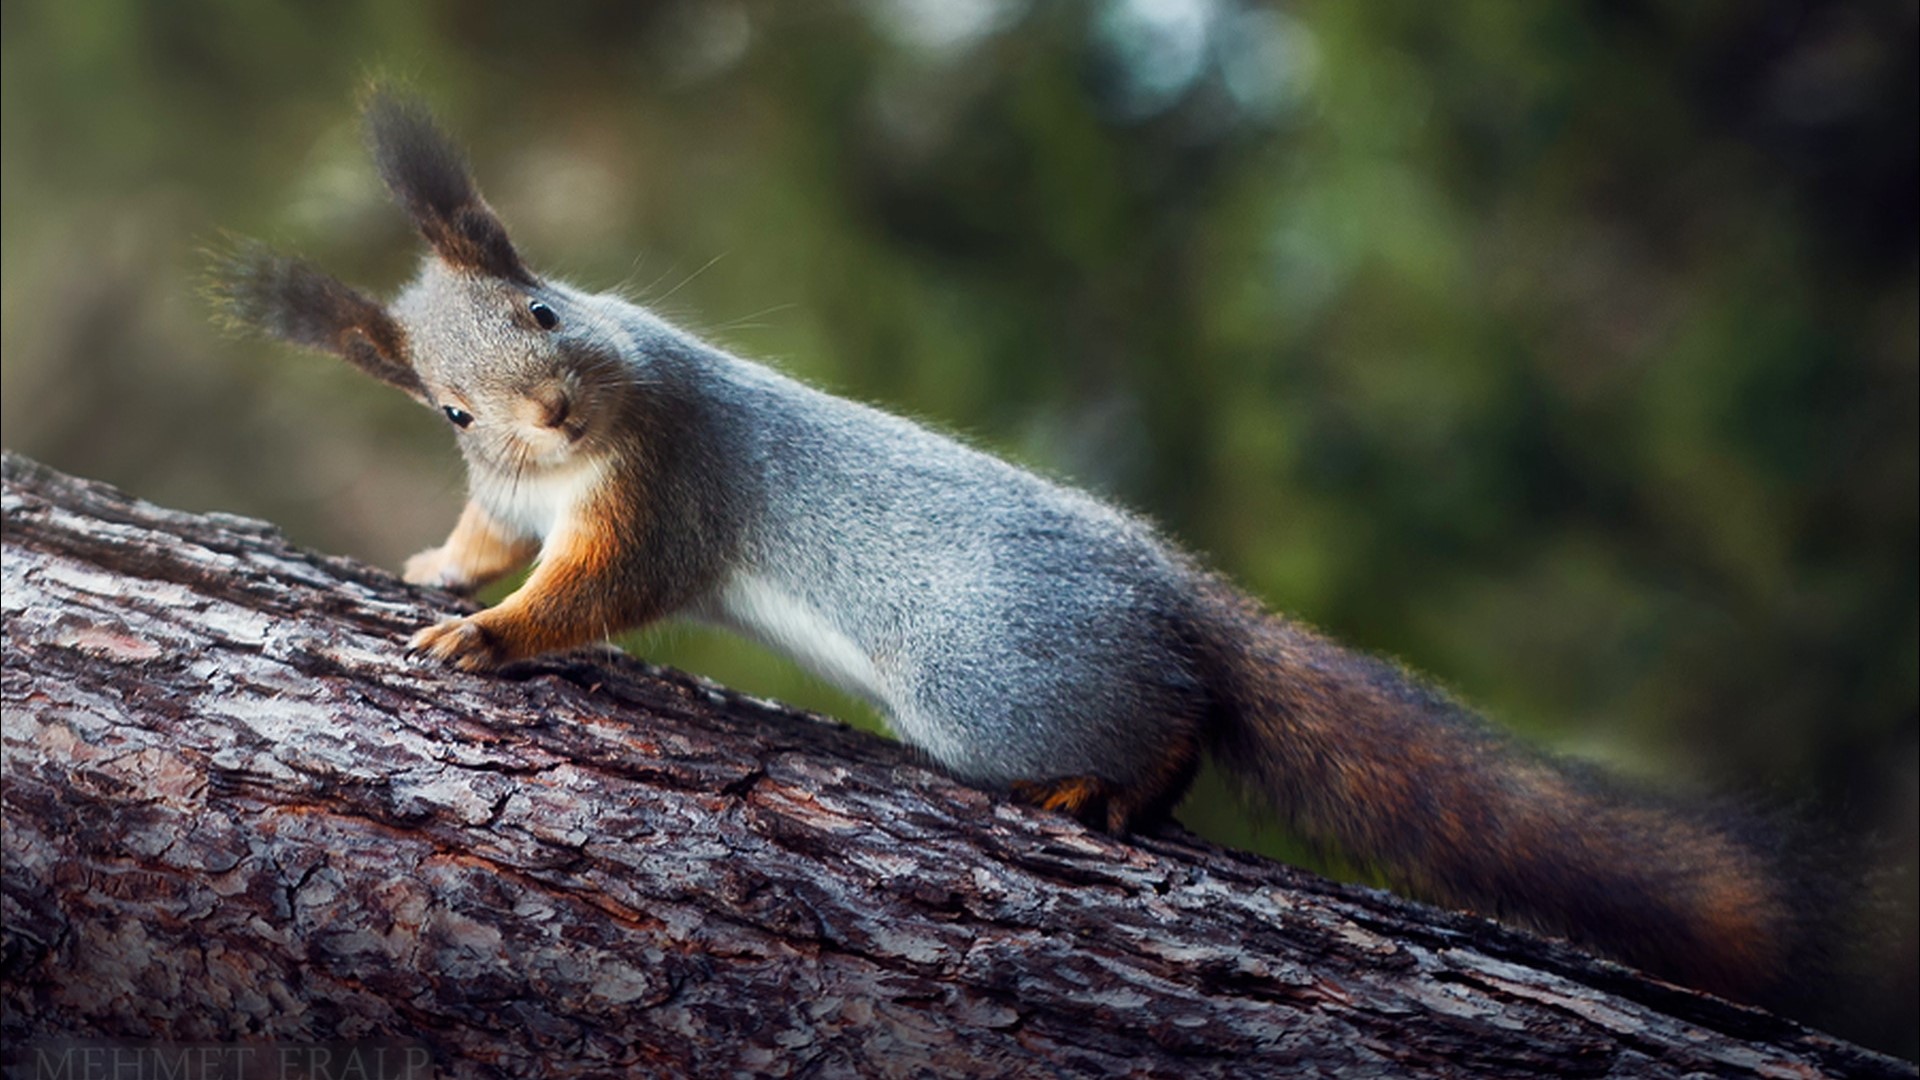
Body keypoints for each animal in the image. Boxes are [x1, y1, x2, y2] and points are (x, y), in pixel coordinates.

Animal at [209, 91, 1821, 1010]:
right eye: (450, 406)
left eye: (542, 303)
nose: (549, 407)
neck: (576, 446)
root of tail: (1172, 594)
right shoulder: (518, 494)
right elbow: (490, 530)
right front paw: (438, 569)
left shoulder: (659, 481)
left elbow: (601, 593)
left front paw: (482, 636)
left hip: (992, 689)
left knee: (1170, 736)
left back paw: (1104, 795)